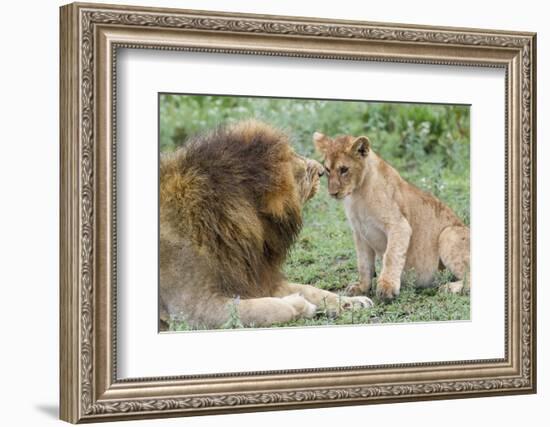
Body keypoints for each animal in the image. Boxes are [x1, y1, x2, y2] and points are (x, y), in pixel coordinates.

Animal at [160, 121, 376, 332]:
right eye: (295, 161)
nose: (322, 171)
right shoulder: (193, 308)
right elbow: (267, 307)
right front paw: (300, 305)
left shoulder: (256, 278)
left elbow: (311, 289)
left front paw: (352, 302)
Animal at [314, 132, 470, 302]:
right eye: (327, 169)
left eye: (344, 169)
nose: (332, 193)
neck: (357, 195)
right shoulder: (360, 233)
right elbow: (363, 263)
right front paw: (362, 288)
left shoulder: (399, 225)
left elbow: (391, 256)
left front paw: (387, 289)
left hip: (448, 233)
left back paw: (448, 288)